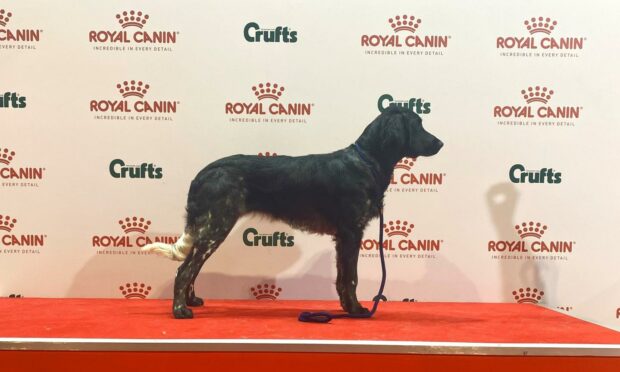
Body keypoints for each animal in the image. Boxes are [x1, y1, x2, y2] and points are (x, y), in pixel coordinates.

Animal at [143, 106, 444, 318]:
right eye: (418, 124)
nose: (440, 143)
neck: (366, 162)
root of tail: (204, 173)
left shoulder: (343, 236)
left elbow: (341, 277)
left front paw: (346, 308)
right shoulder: (351, 231)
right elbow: (351, 277)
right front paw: (357, 310)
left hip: (211, 226)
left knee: (190, 267)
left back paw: (192, 301)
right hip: (217, 224)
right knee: (185, 269)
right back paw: (181, 311)